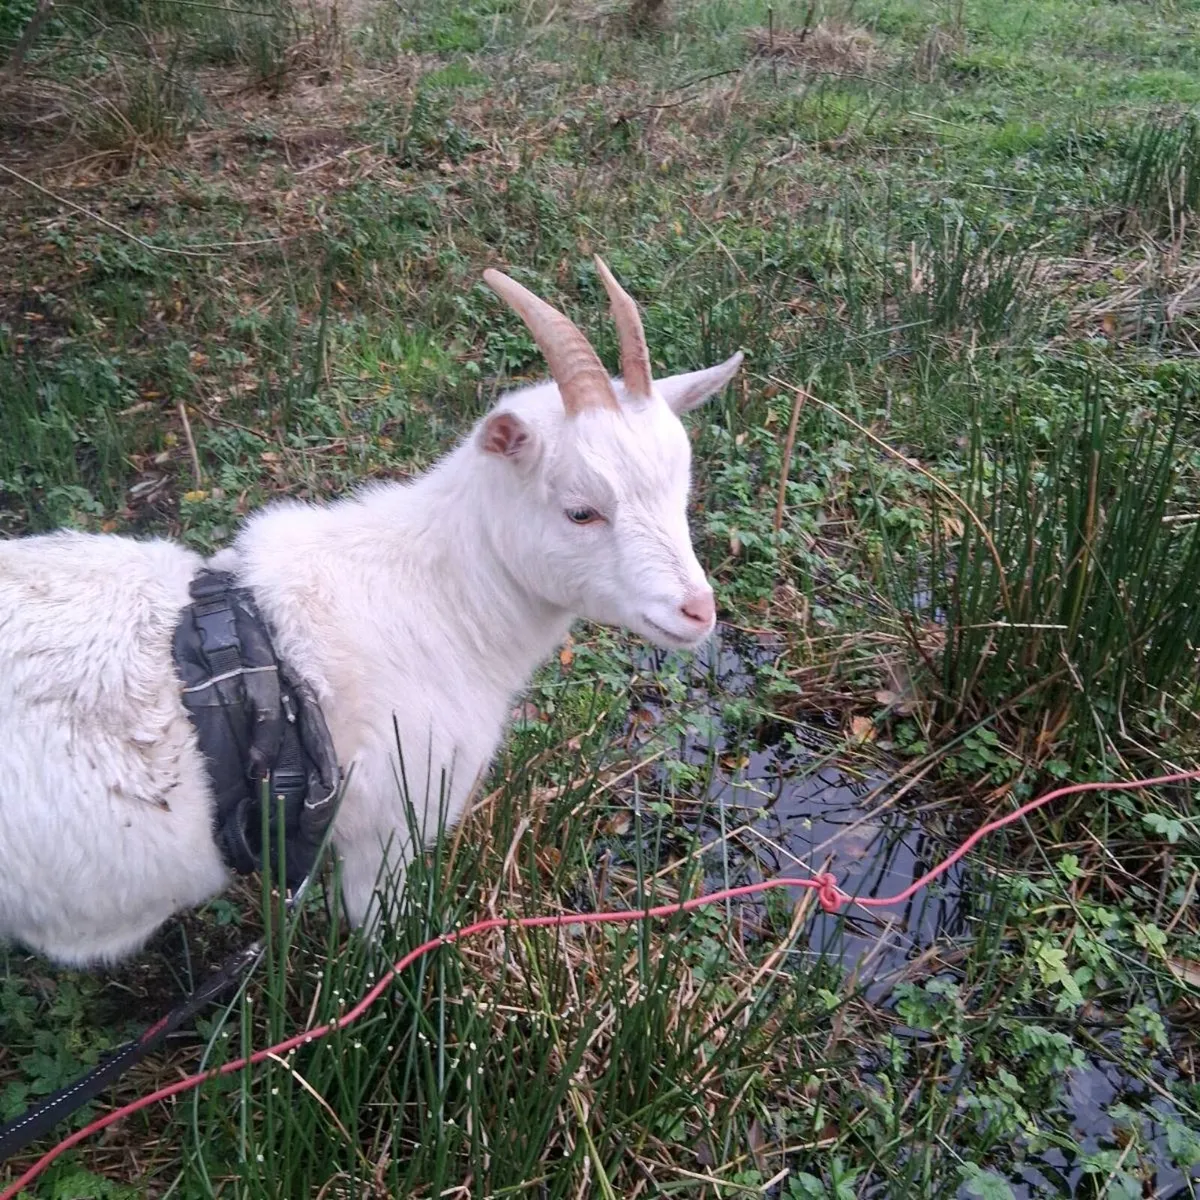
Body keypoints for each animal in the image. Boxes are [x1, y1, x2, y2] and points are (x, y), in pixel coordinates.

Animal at [0, 259, 743, 967]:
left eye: (680, 490)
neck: (434, 602)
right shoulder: (386, 829)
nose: (696, 611)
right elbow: (384, 942)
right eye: (581, 511)